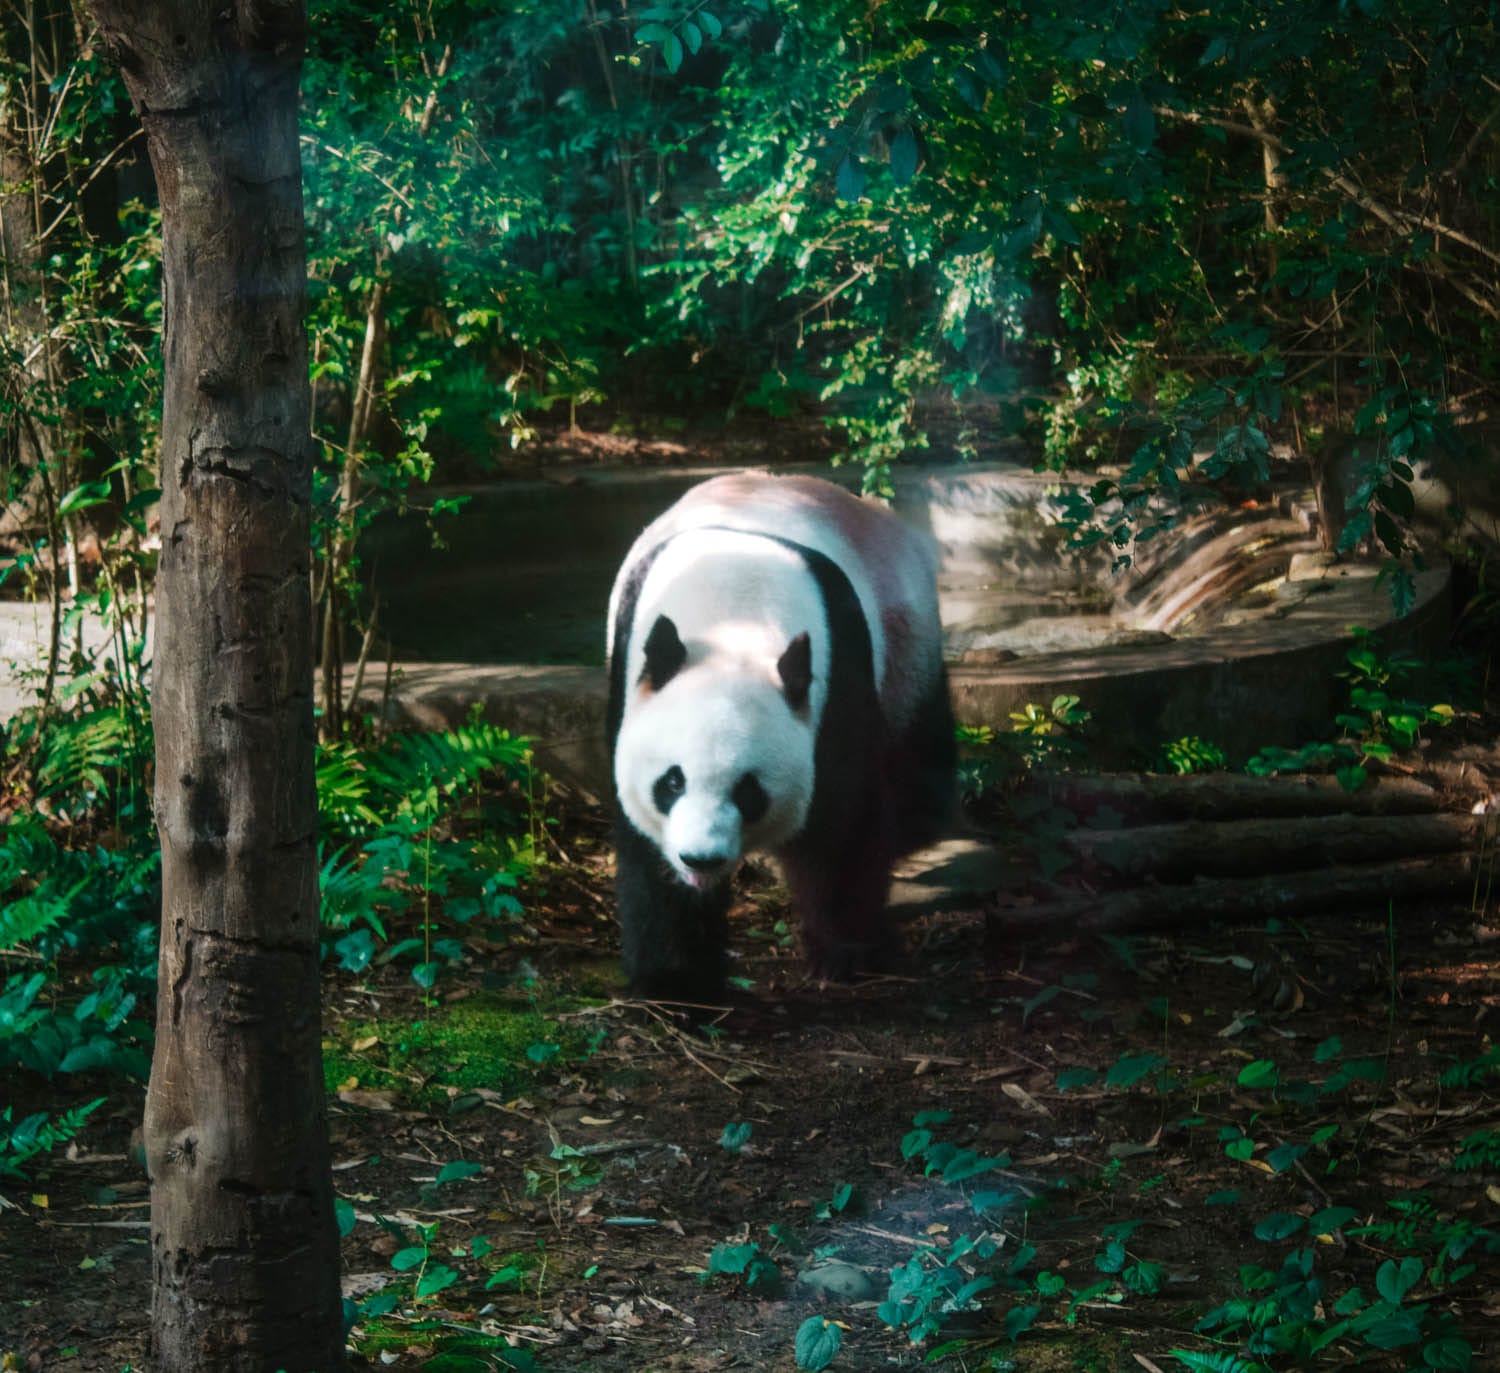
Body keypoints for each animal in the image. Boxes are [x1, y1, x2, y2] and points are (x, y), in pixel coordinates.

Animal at [606, 471, 956, 1001]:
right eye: (672, 782)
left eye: (749, 790)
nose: (700, 859)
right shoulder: (629, 671)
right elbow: (646, 850)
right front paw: (676, 980)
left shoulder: (836, 673)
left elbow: (842, 820)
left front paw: (846, 955)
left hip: (909, 645)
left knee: (919, 751)